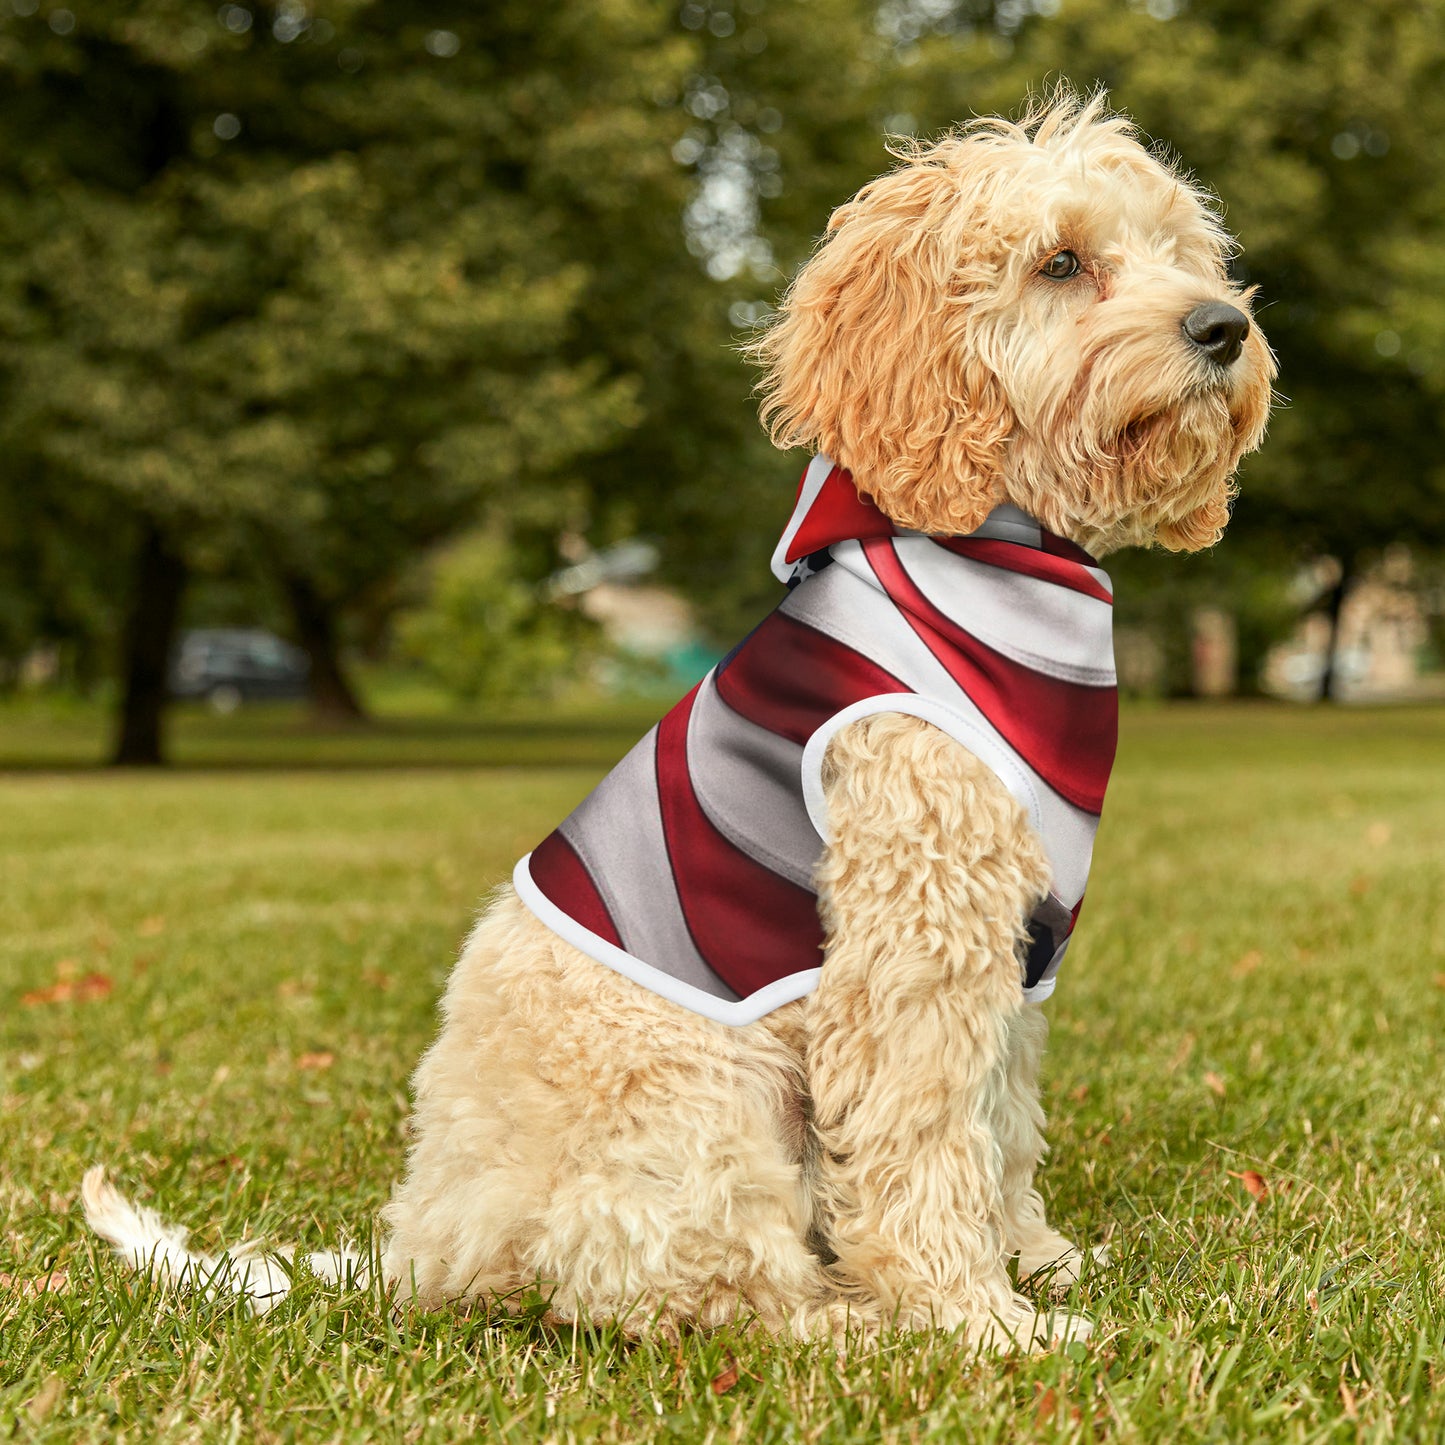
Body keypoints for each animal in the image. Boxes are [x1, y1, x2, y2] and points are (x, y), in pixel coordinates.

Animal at [84, 96, 1271, 1346]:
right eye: (1060, 262)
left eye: (1180, 253)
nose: (1222, 326)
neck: (996, 558)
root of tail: (423, 1247)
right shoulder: (913, 941)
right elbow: (924, 1140)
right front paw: (976, 1318)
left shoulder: (1011, 949)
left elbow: (999, 1124)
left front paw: (1033, 1259)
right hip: (706, 1102)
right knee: (698, 1288)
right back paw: (847, 1318)